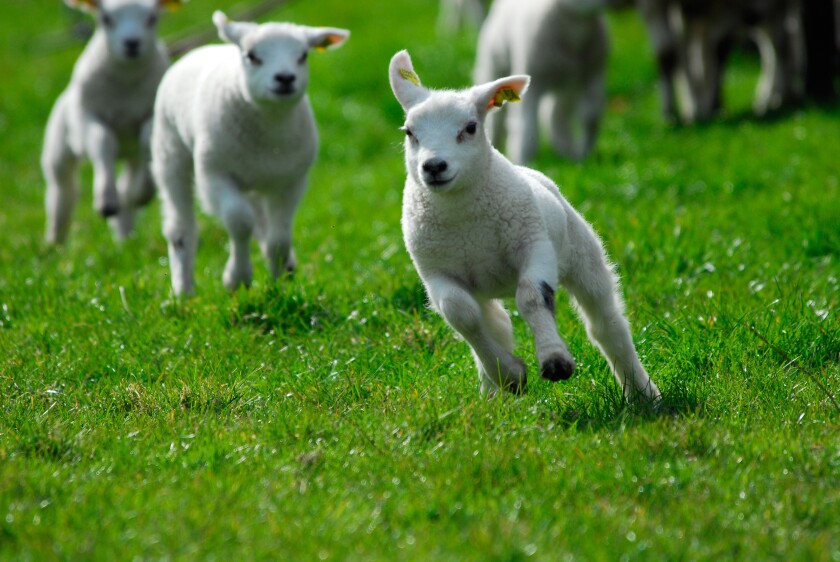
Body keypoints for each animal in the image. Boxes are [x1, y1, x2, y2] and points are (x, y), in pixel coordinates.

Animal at [41, 0, 183, 244]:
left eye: (152, 18)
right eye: (105, 19)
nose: (132, 43)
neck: (125, 81)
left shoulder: (152, 114)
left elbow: (146, 138)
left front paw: (141, 193)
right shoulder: (87, 116)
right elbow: (102, 141)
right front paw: (105, 201)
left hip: (132, 155)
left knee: (127, 187)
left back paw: (125, 234)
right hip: (59, 142)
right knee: (63, 189)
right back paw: (54, 242)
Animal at [151, 12, 349, 296]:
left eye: (303, 55)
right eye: (252, 56)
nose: (285, 78)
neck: (268, 129)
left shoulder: (291, 181)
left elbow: (279, 238)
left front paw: (280, 282)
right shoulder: (213, 174)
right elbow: (239, 221)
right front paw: (237, 278)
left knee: (262, 222)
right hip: (169, 151)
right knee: (180, 227)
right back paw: (183, 290)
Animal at [389, 50, 661, 401]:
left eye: (470, 127)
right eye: (409, 133)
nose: (434, 166)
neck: (464, 221)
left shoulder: (534, 245)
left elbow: (532, 297)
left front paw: (555, 361)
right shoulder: (434, 271)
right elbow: (461, 313)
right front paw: (509, 373)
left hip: (582, 254)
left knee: (605, 324)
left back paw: (642, 392)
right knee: (495, 320)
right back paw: (492, 388)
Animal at [473, 0, 611, 164]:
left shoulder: (594, 73)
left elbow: (590, 115)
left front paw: (583, 156)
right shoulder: (533, 82)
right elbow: (527, 128)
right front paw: (522, 162)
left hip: (568, 85)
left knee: (556, 114)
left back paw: (567, 150)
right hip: (495, 63)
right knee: (497, 119)